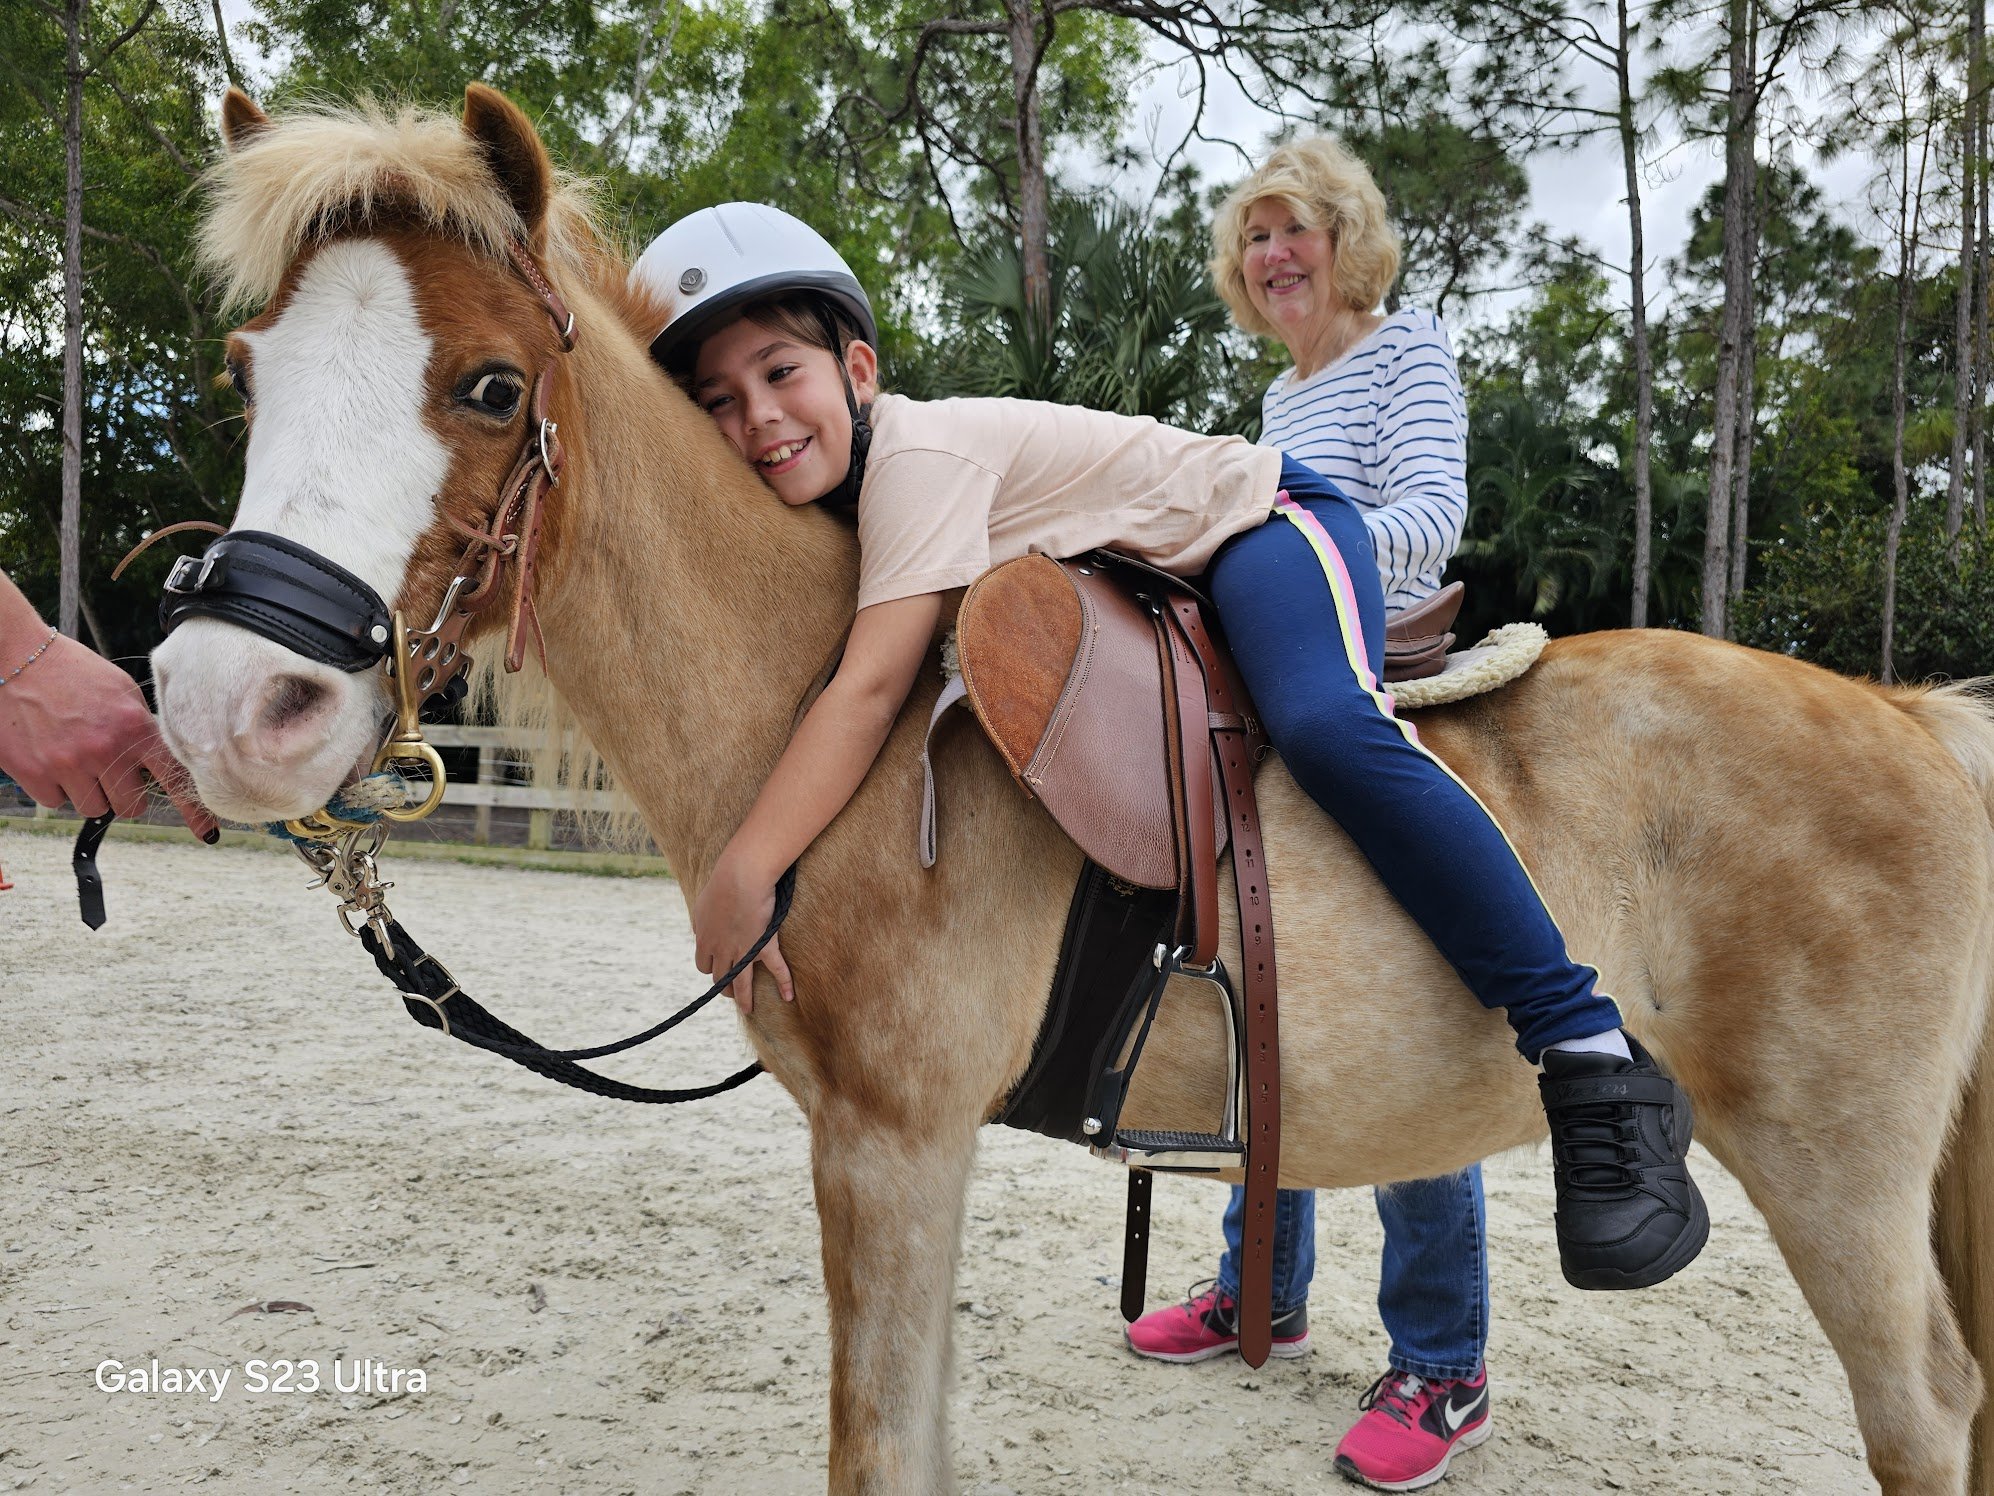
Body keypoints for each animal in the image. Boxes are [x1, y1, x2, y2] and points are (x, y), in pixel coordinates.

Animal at [149, 84, 1994, 1494]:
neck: (829, 730)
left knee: (1922, 1413)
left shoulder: (890, 1149)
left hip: (1830, 1165)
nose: (227, 703)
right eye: (247, 374)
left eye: (487, 386)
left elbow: (878, 1451)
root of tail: (1917, 719)